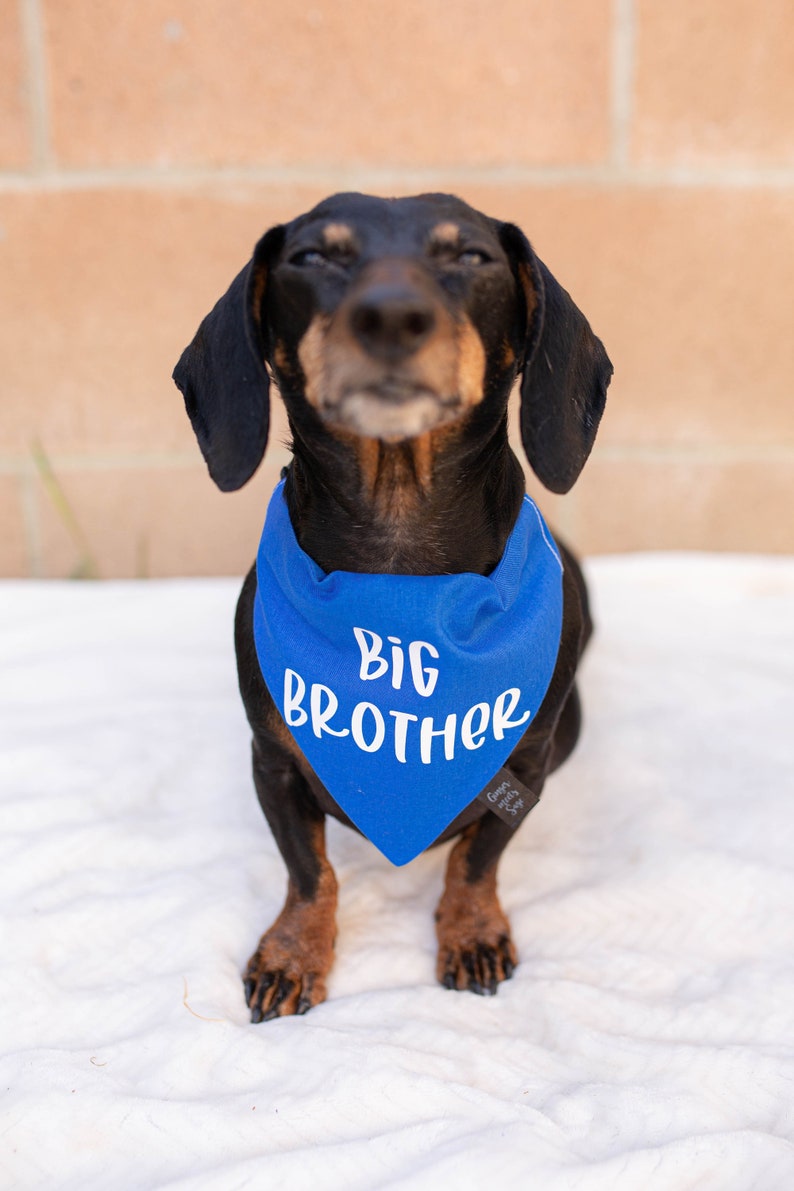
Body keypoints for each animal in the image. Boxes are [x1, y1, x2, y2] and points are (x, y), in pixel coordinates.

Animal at [172, 190, 609, 1019]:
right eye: (312, 256)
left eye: (471, 255)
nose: (393, 316)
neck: (399, 566)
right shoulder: (273, 761)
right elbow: (310, 872)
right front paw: (293, 952)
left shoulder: (524, 769)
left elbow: (474, 860)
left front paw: (472, 932)